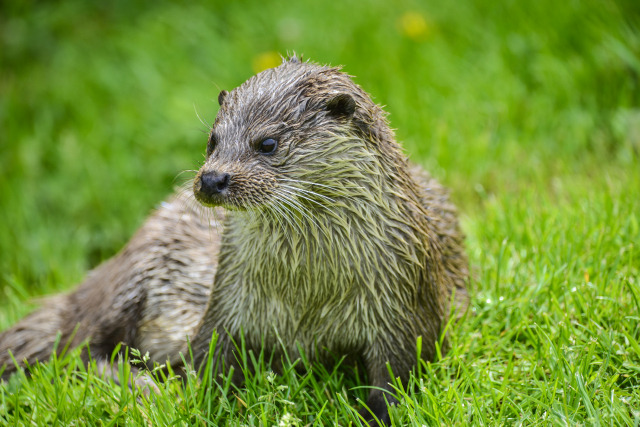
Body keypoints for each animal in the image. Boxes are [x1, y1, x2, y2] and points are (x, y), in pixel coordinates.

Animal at [1, 56, 470, 424]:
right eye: (213, 140)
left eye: (267, 143)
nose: (212, 178)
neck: (306, 298)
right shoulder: (226, 305)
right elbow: (207, 362)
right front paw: (191, 397)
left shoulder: (404, 311)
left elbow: (397, 380)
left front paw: (373, 414)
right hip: (132, 273)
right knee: (77, 346)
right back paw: (145, 385)